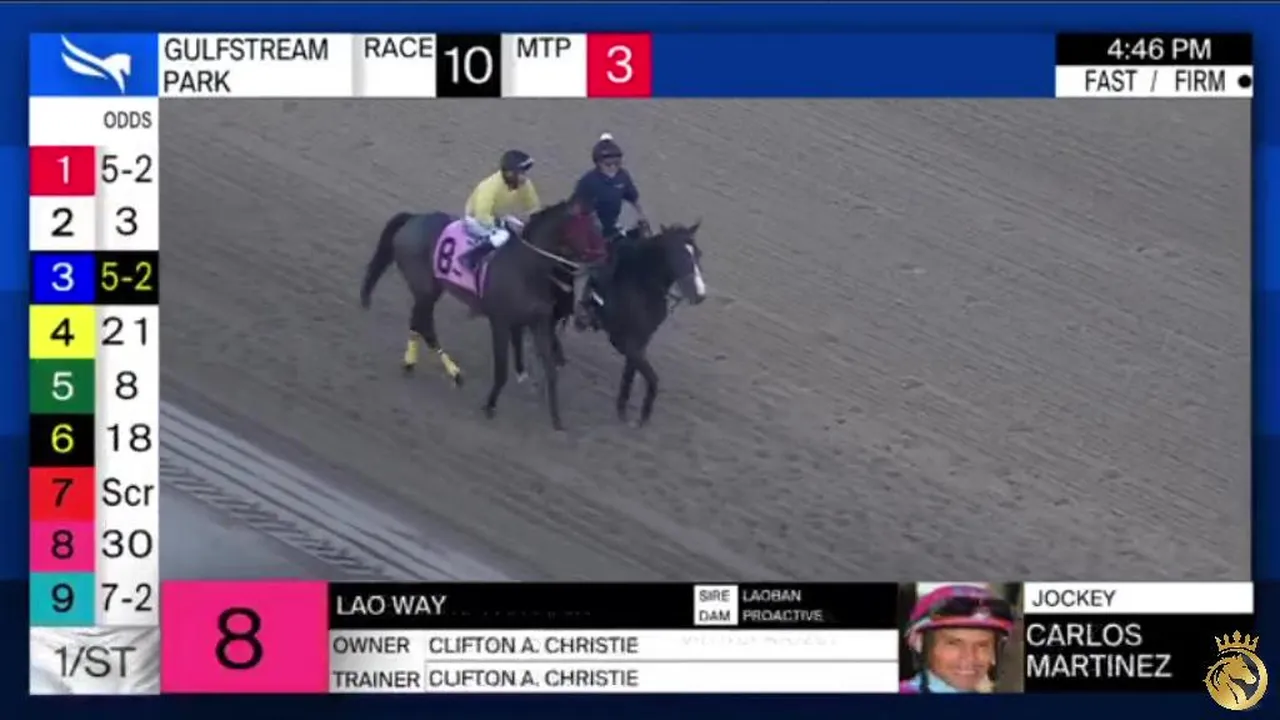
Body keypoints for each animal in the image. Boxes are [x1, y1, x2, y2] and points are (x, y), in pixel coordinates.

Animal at [359, 199, 606, 431]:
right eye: (588, 228)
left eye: (599, 226)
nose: (604, 256)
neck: (527, 268)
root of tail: (413, 218)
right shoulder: (501, 322)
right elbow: (502, 369)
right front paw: (490, 404)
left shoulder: (540, 324)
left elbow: (551, 370)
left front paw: (556, 418)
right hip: (425, 287)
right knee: (424, 325)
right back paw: (451, 372)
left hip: (431, 288)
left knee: (420, 323)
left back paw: (421, 364)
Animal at [583, 222, 707, 426]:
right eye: (676, 254)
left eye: (698, 253)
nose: (699, 294)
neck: (641, 283)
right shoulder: (622, 340)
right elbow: (652, 378)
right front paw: (642, 415)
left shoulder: (642, 339)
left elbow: (630, 373)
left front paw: (622, 409)